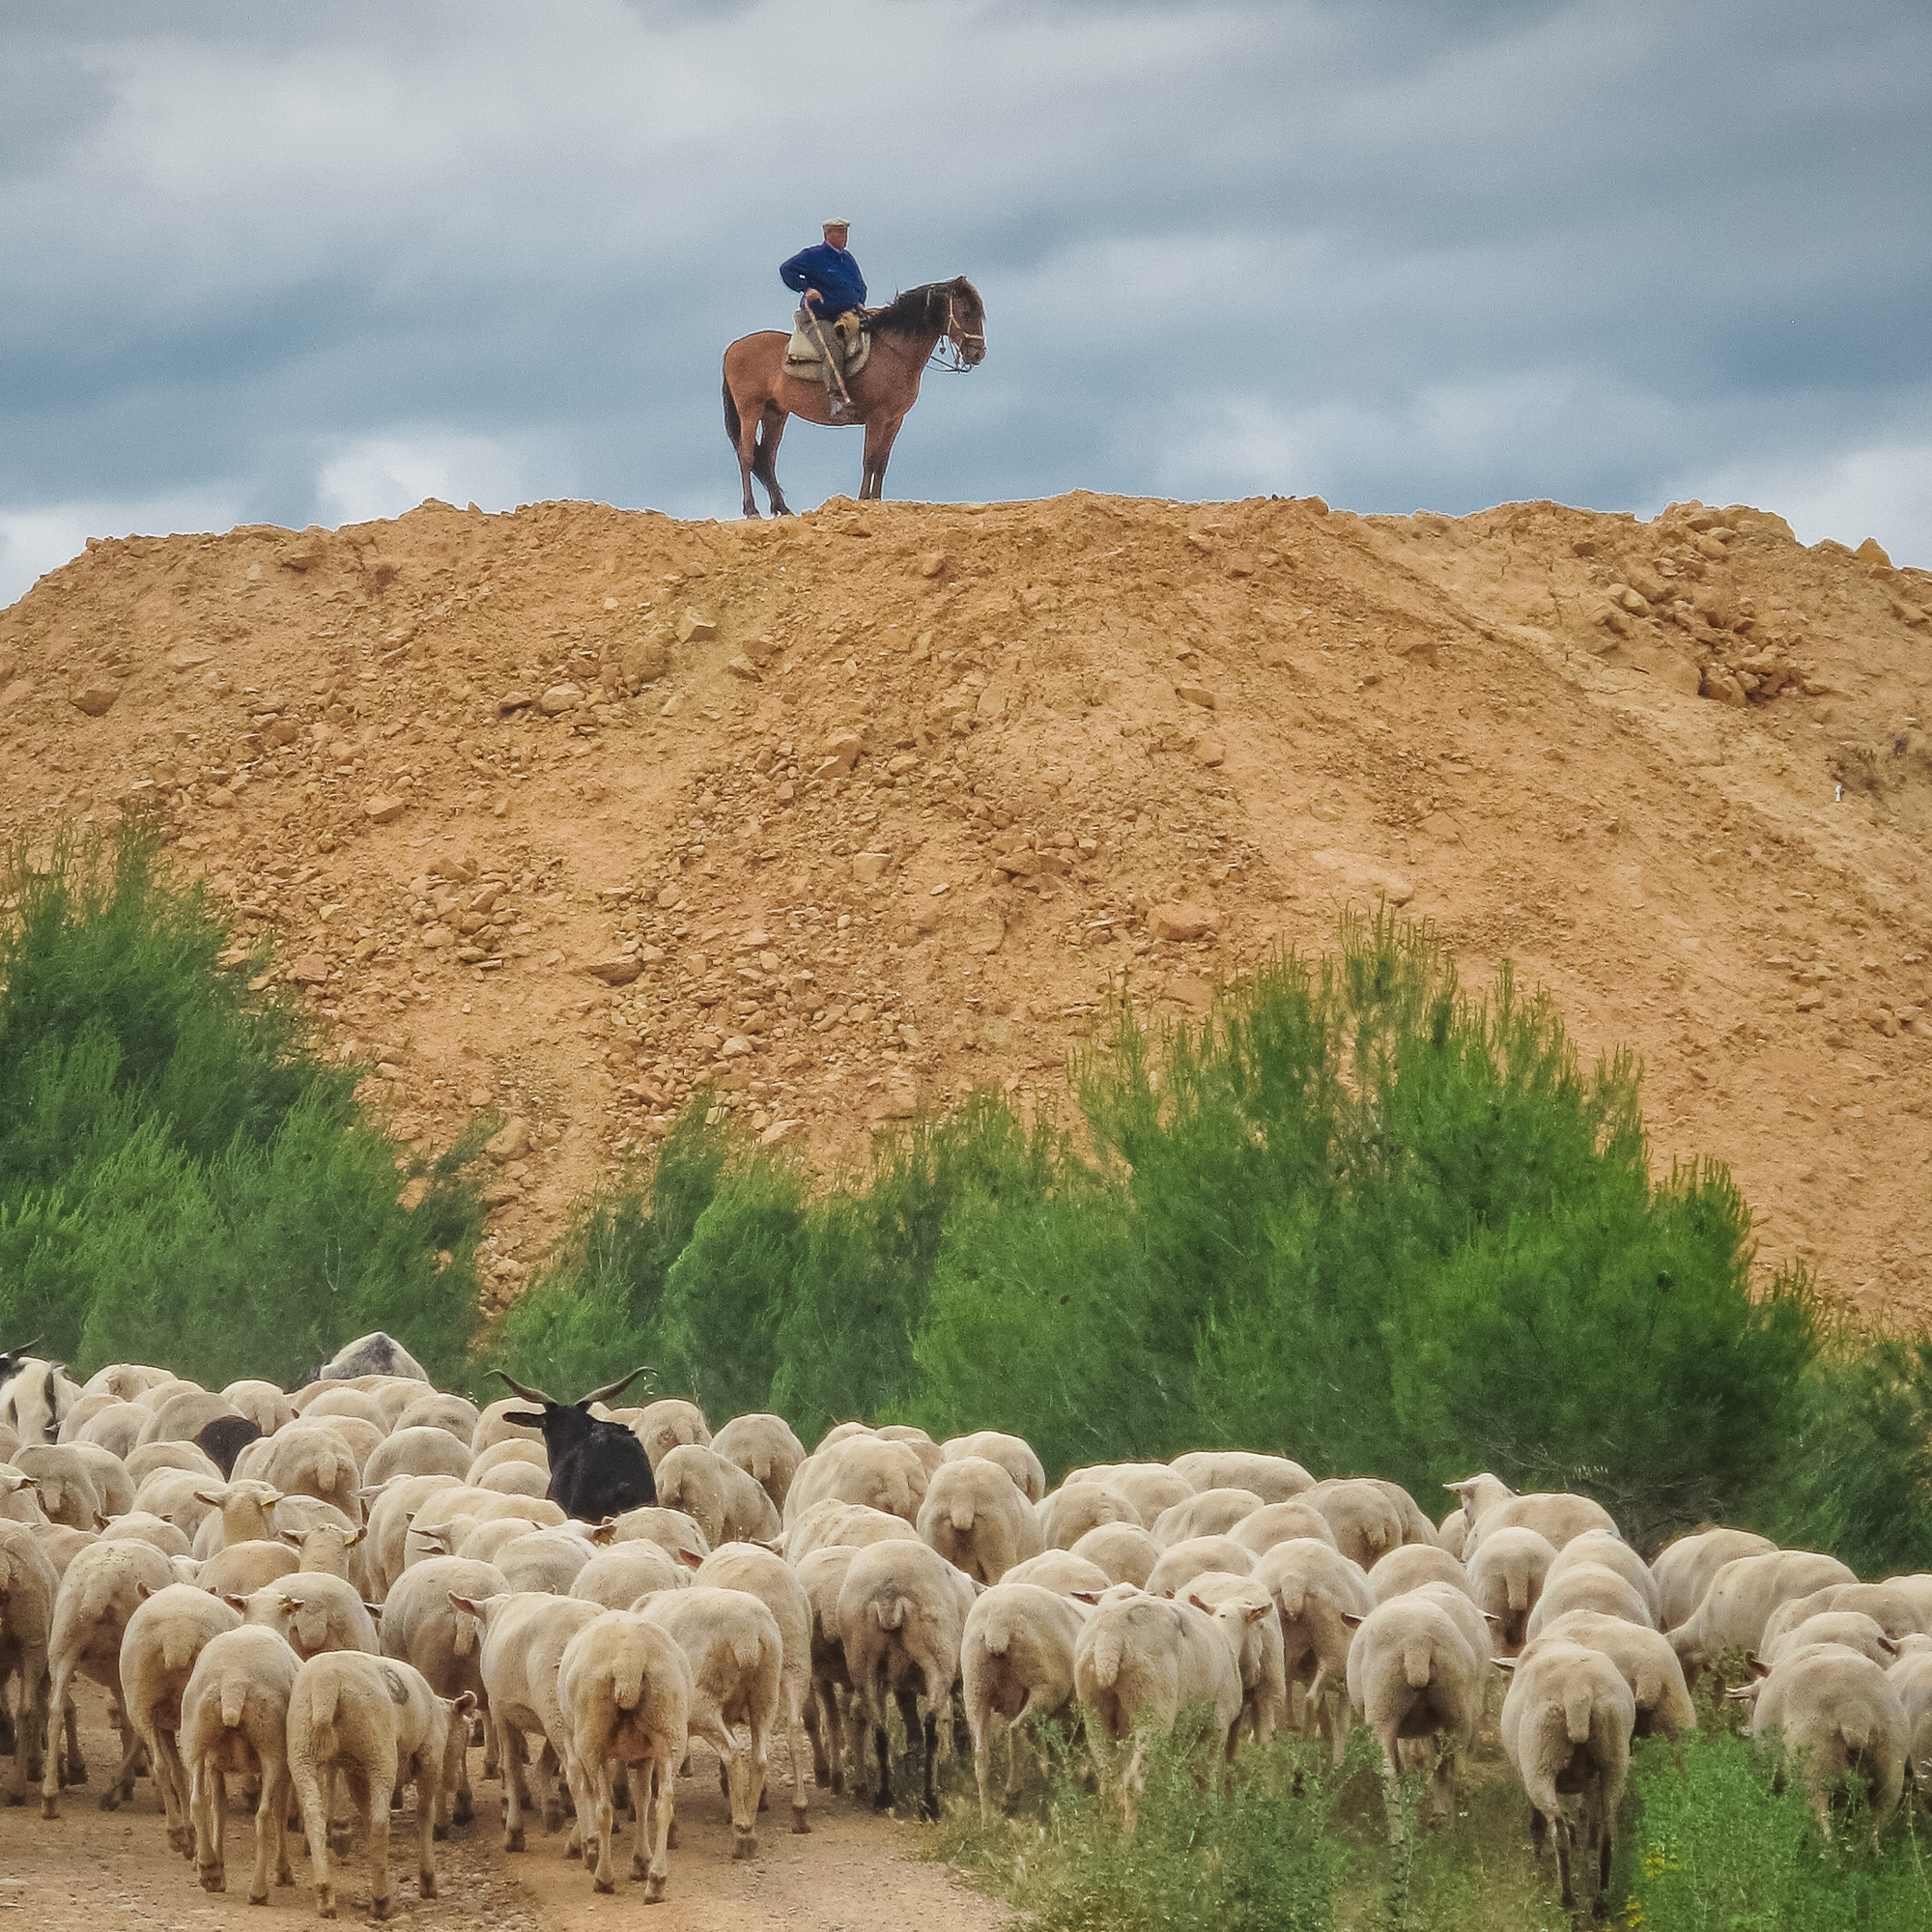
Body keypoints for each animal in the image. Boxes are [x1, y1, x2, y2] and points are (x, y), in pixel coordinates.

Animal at [723, 274, 981, 514]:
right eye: (966, 312)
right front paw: (864, 499)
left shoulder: (894, 420)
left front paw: (876, 499)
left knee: (767, 458)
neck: (893, 352)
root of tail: (732, 348)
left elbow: (882, 463)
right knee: (746, 455)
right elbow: (870, 460)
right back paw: (751, 510)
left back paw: (782, 509)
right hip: (750, 410)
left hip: (775, 413)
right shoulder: (876, 418)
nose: (978, 352)